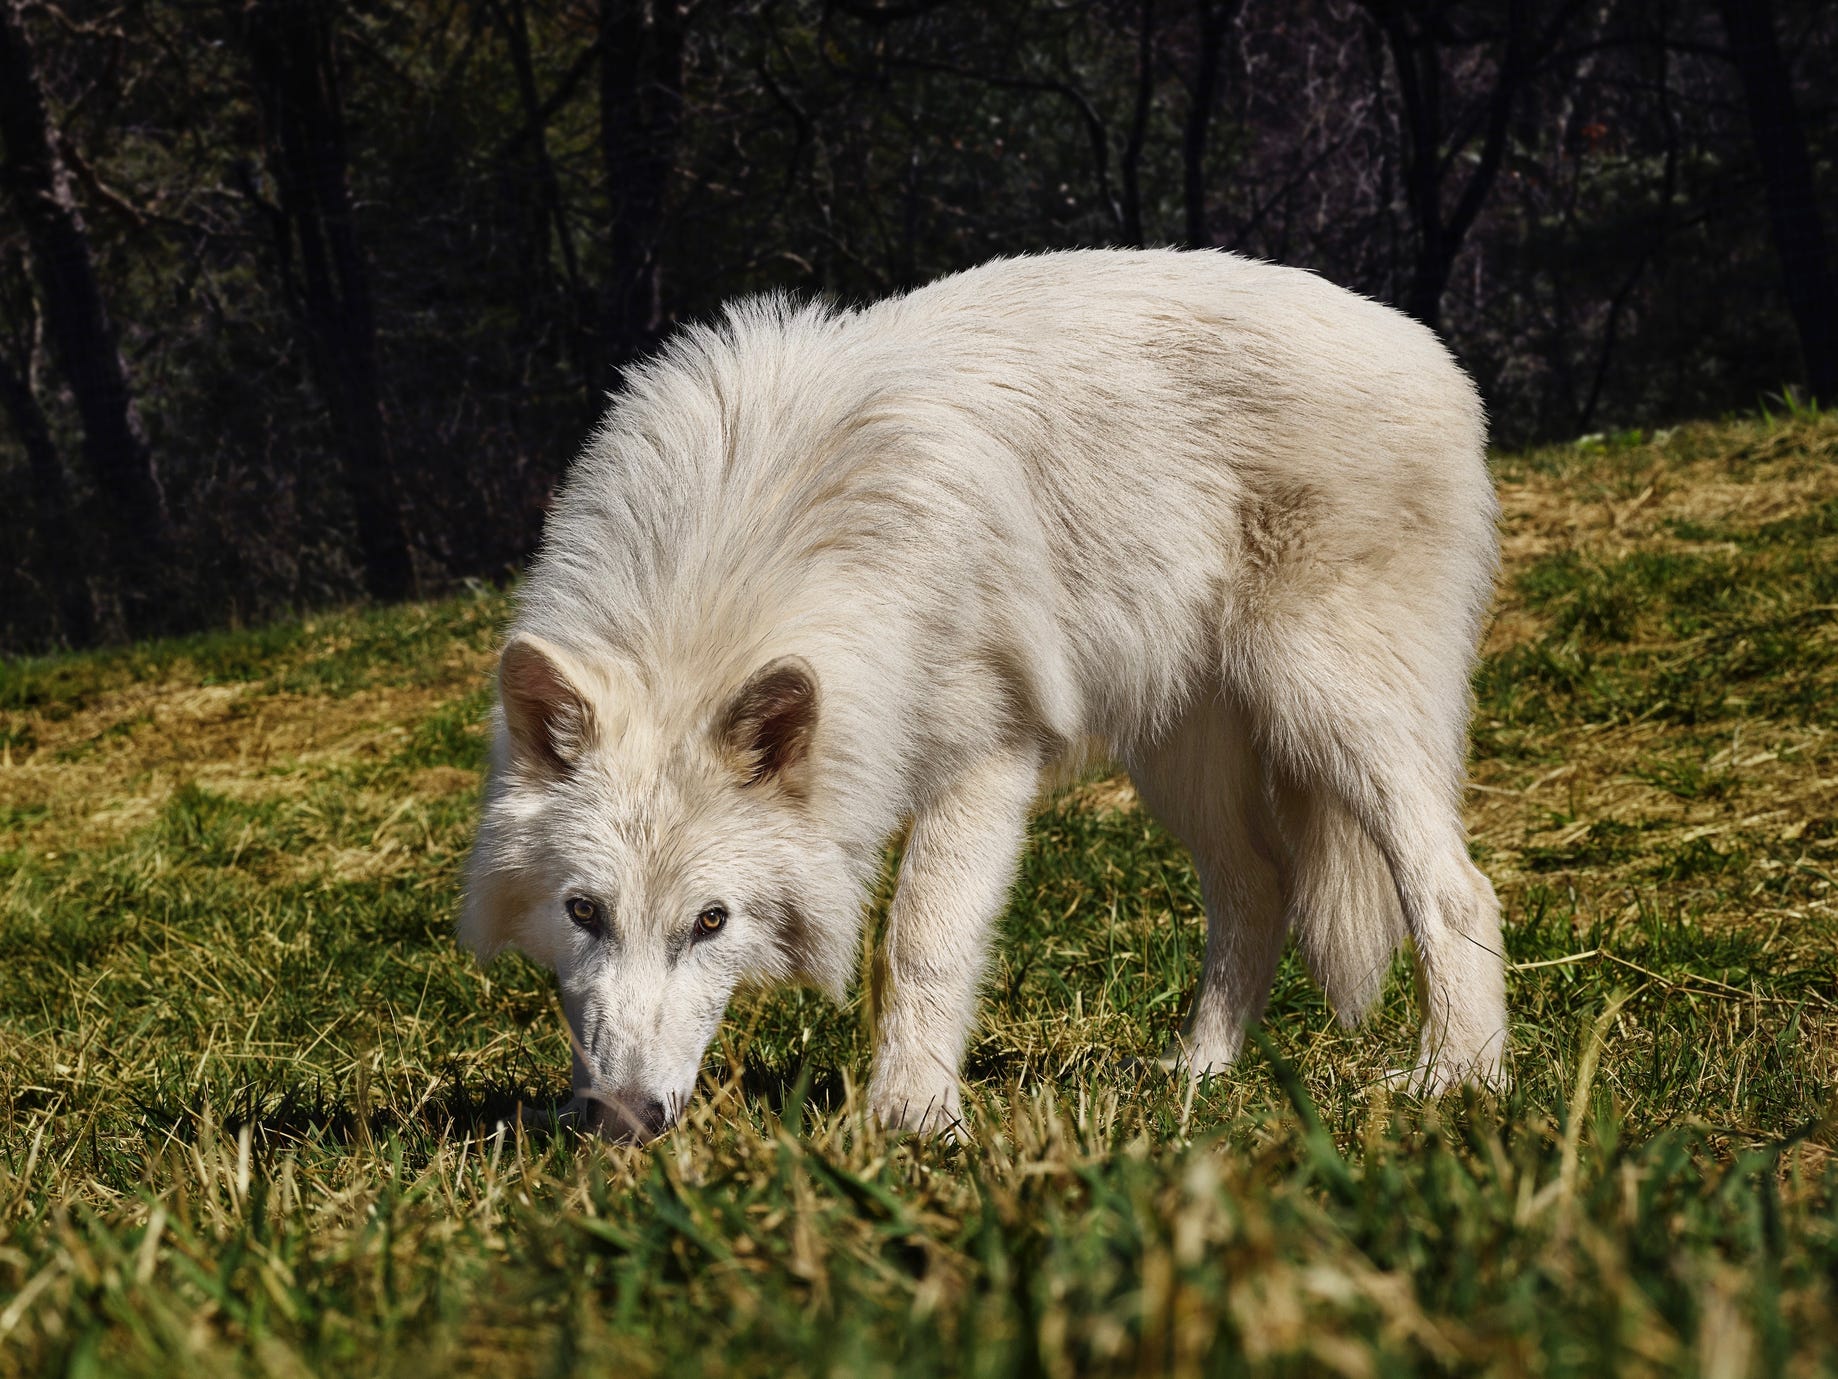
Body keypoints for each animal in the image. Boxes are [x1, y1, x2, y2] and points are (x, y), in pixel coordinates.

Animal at [459, 248, 1505, 1142]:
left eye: (711, 921)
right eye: (583, 911)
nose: (620, 1121)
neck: (743, 552)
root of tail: (1429, 349)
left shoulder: (989, 757)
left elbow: (921, 941)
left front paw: (914, 1117)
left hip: (1329, 710)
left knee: (1456, 887)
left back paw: (1458, 1077)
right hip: (1182, 760)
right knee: (1260, 888)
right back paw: (1199, 1073)